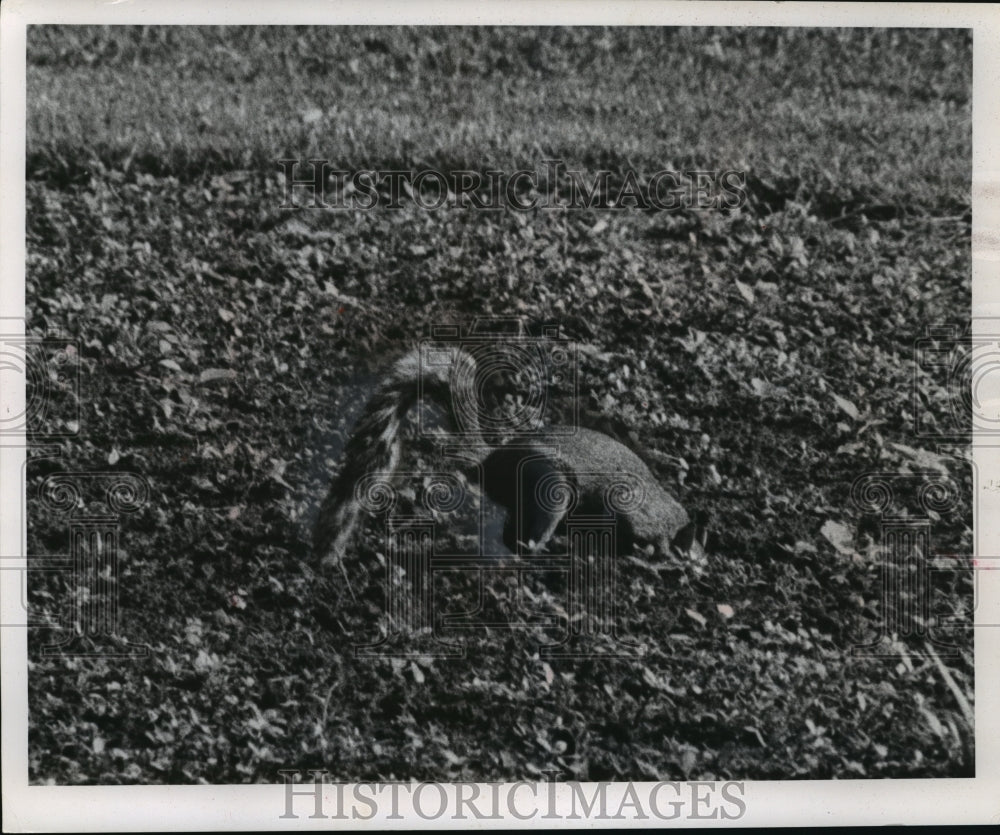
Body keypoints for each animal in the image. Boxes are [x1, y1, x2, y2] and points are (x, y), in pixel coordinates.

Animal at [312, 342, 704, 572]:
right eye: (691, 548)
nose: (695, 564)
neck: (669, 518)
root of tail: (490, 461)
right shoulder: (634, 511)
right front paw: (656, 562)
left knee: (513, 534)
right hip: (550, 488)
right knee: (526, 542)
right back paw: (555, 551)